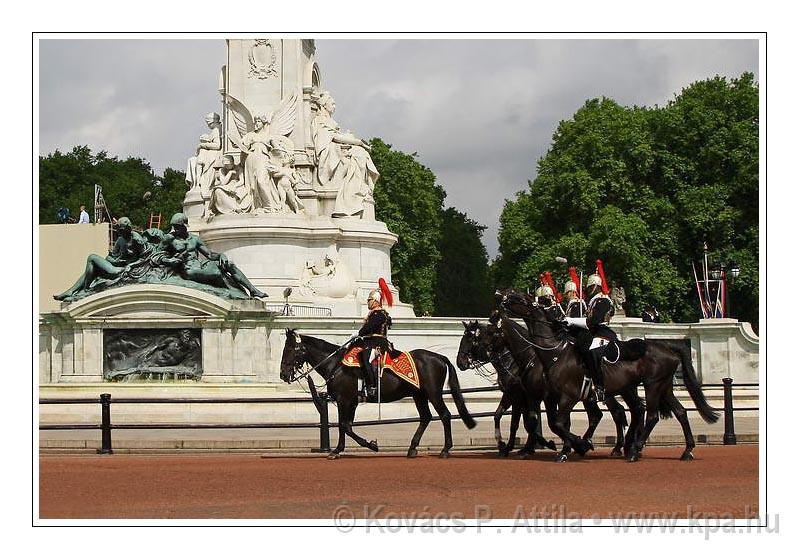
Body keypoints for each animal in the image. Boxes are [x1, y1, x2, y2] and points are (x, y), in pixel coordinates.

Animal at [280, 330, 476, 458]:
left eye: (289, 349)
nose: (283, 374)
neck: (335, 364)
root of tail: (440, 357)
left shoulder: (344, 400)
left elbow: (344, 425)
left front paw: (360, 447)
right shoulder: (351, 401)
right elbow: (347, 425)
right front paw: (347, 448)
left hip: (433, 393)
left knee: (445, 415)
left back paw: (445, 449)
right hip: (419, 395)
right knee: (426, 417)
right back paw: (412, 448)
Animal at [500, 290, 720, 462]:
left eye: (520, 297)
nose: (501, 297)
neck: (554, 352)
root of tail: (669, 348)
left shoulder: (567, 396)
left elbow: (559, 424)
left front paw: (578, 446)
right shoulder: (552, 396)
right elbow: (552, 423)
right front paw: (573, 446)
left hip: (652, 386)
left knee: (650, 415)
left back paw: (634, 450)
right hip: (662, 387)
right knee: (679, 412)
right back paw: (686, 451)